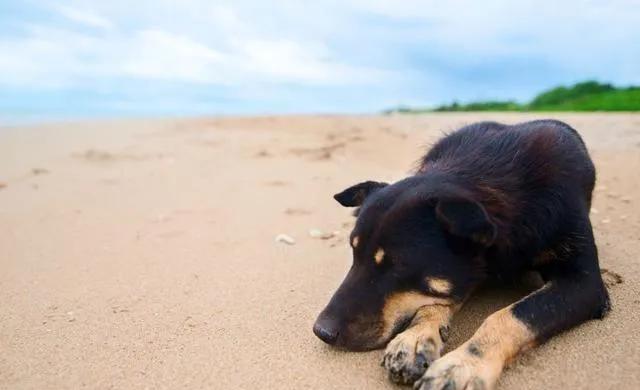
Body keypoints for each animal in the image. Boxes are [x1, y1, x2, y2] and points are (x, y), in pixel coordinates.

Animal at [314, 119, 608, 390]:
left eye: (397, 266)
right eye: (354, 253)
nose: (321, 331)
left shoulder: (584, 283)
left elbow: (512, 315)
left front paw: (462, 365)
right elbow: (440, 297)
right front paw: (416, 337)